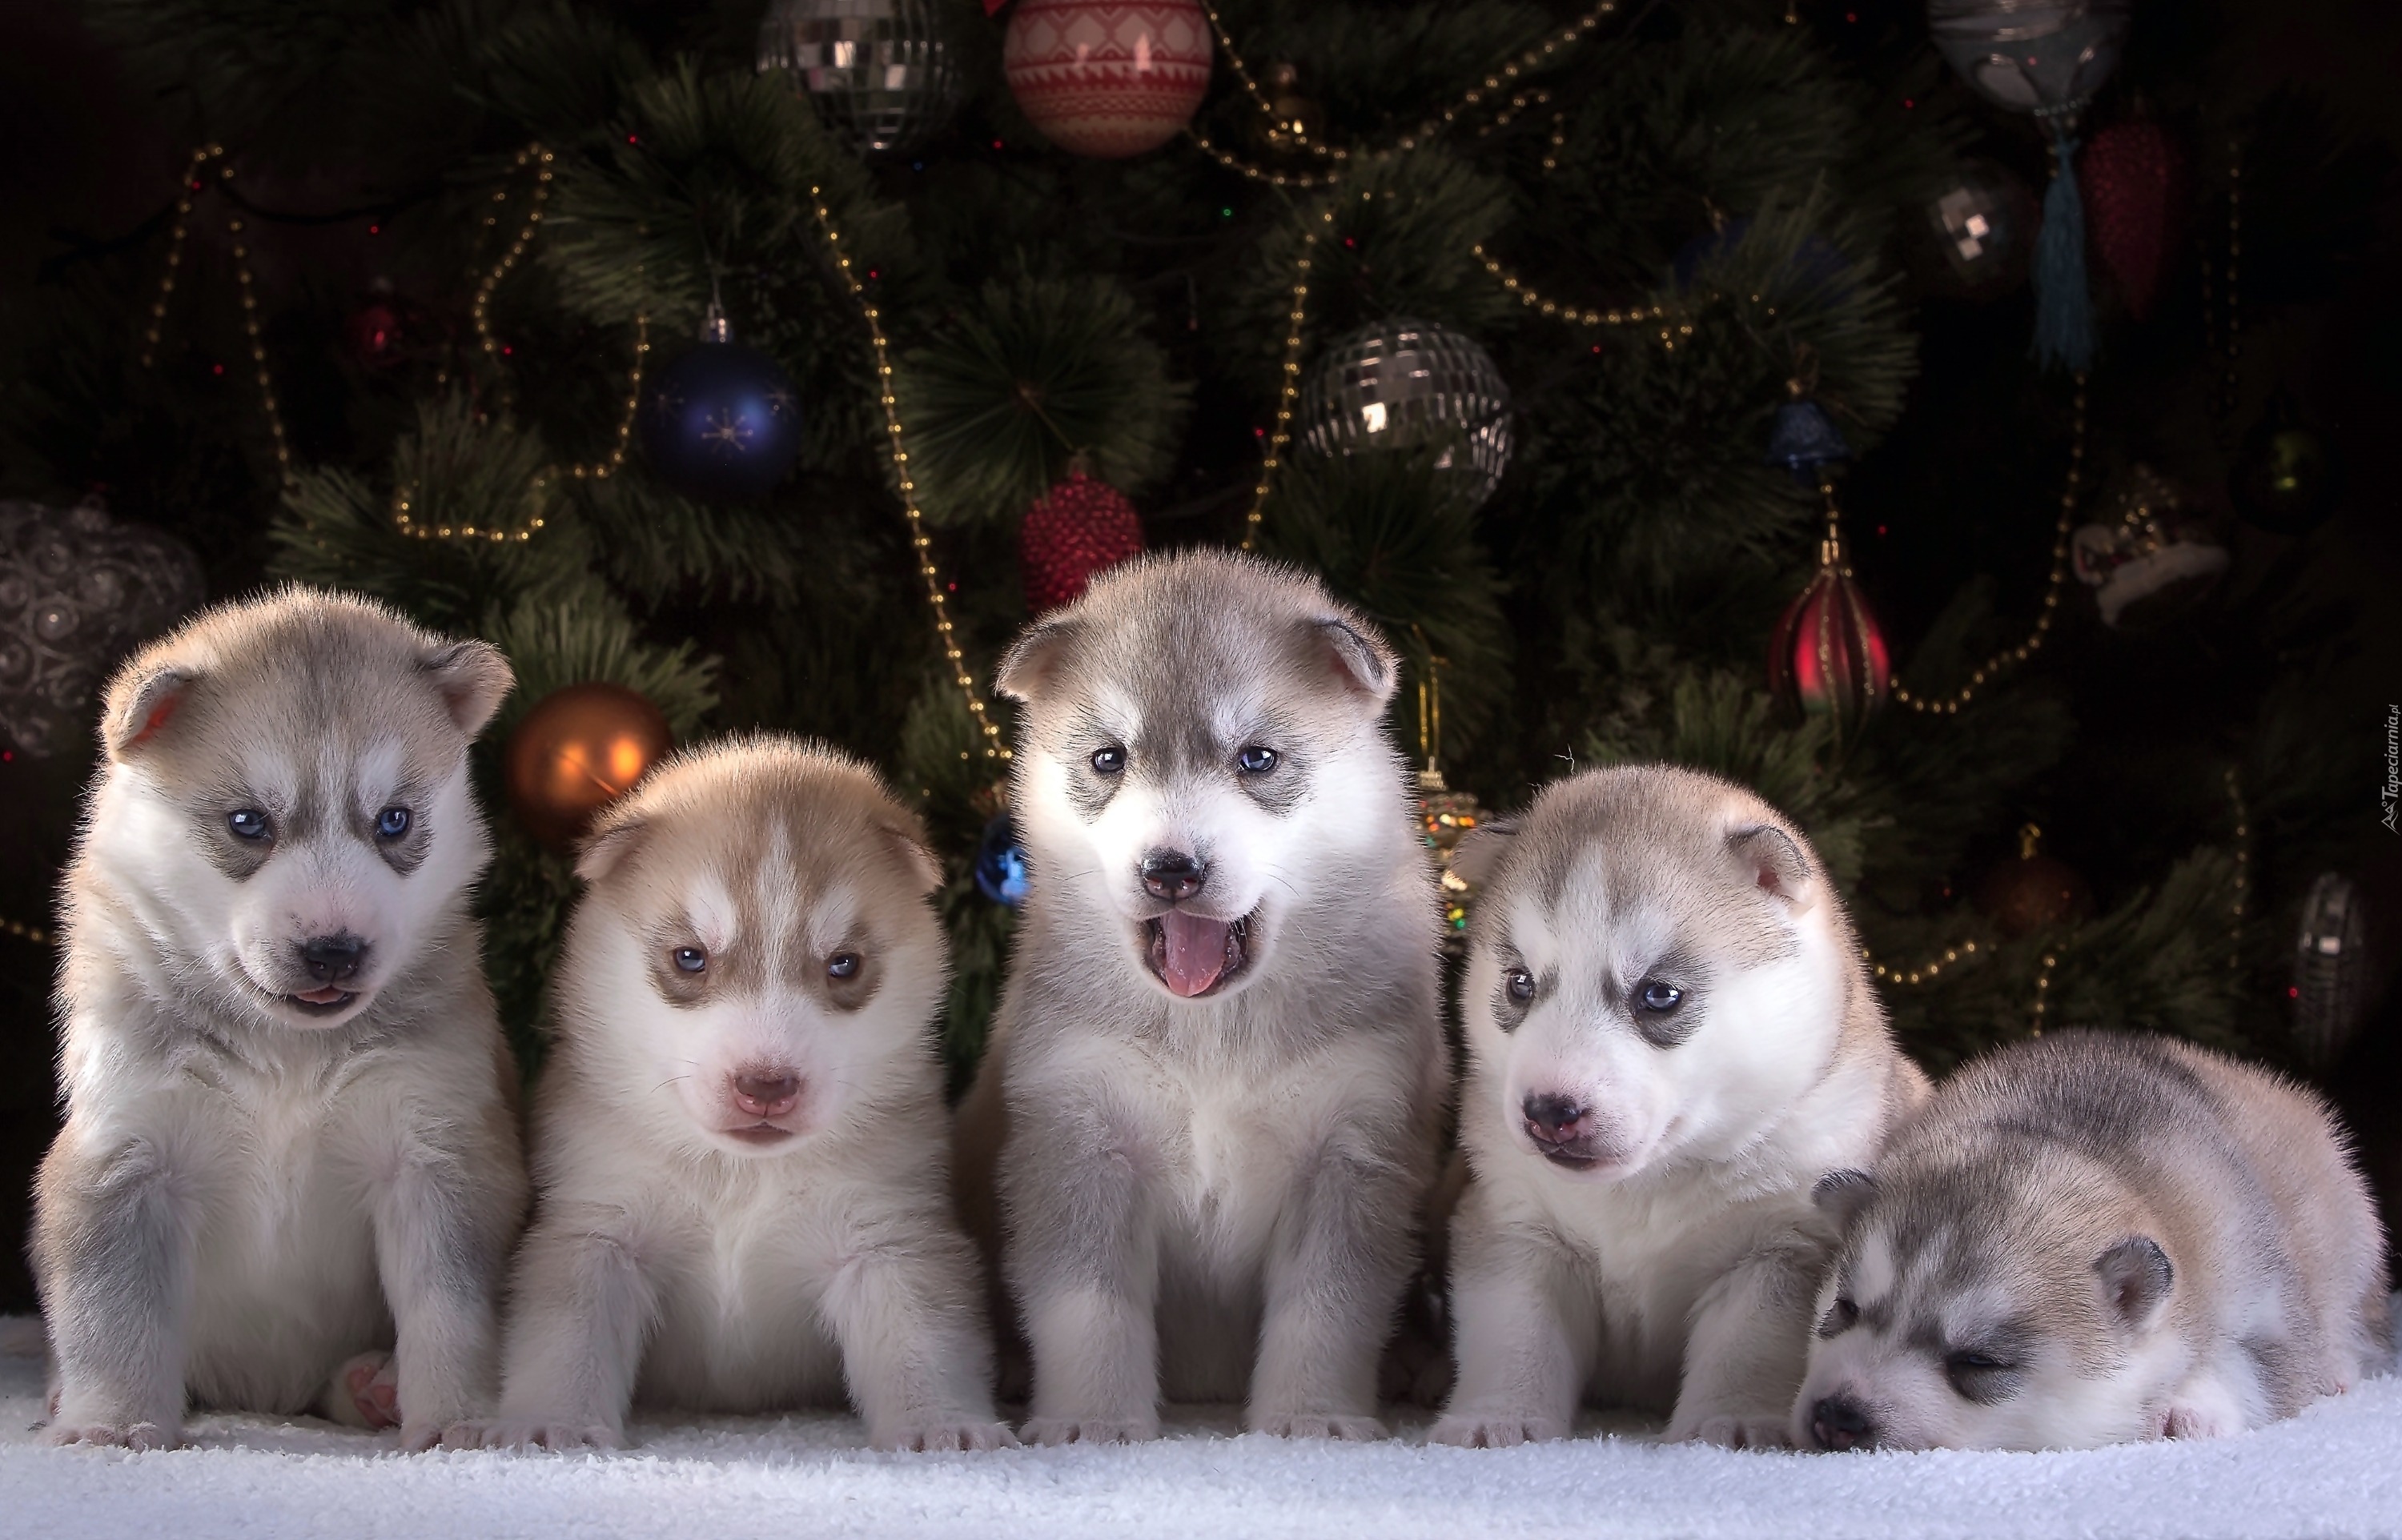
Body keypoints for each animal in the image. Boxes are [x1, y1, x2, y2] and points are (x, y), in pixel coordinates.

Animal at [34, 581, 531, 1450]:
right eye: (248, 824)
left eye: (394, 820)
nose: (334, 951)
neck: (288, 1053)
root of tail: (268, 1395)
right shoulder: (126, 1155)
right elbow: (111, 1313)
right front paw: (112, 1427)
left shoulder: (437, 1152)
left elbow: (454, 1310)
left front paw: (459, 1418)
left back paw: (376, 1384)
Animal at [473, 740, 1009, 1450]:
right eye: (689, 957)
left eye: (844, 965)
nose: (766, 1086)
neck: (739, 1178)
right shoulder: (595, 1233)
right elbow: (566, 1343)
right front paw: (549, 1423)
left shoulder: (887, 1238)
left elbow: (925, 1341)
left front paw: (942, 1425)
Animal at [956, 550, 1441, 1441]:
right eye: (1108, 759)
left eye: (1257, 759)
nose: (1170, 871)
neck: (1213, 1030)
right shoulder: (1079, 1140)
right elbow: (1087, 1307)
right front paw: (1090, 1422)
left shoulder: (1352, 1151)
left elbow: (1328, 1311)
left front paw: (1311, 1419)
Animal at [1422, 764, 1931, 1450]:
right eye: (1519, 983)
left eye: (1659, 995)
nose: (1549, 1110)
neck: (1645, 1189)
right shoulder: (1517, 1226)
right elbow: (1514, 1335)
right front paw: (1497, 1416)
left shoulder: (1779, 1250)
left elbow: (1748, 1350)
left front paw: (1735, 1421)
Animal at [1797, 1028, 2392, 1450]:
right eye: (1844, 1308)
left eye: (1980, 1362)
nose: (1838, 1416)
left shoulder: (2269, 1305)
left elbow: (2259, 1370)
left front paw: (2191, 1408)